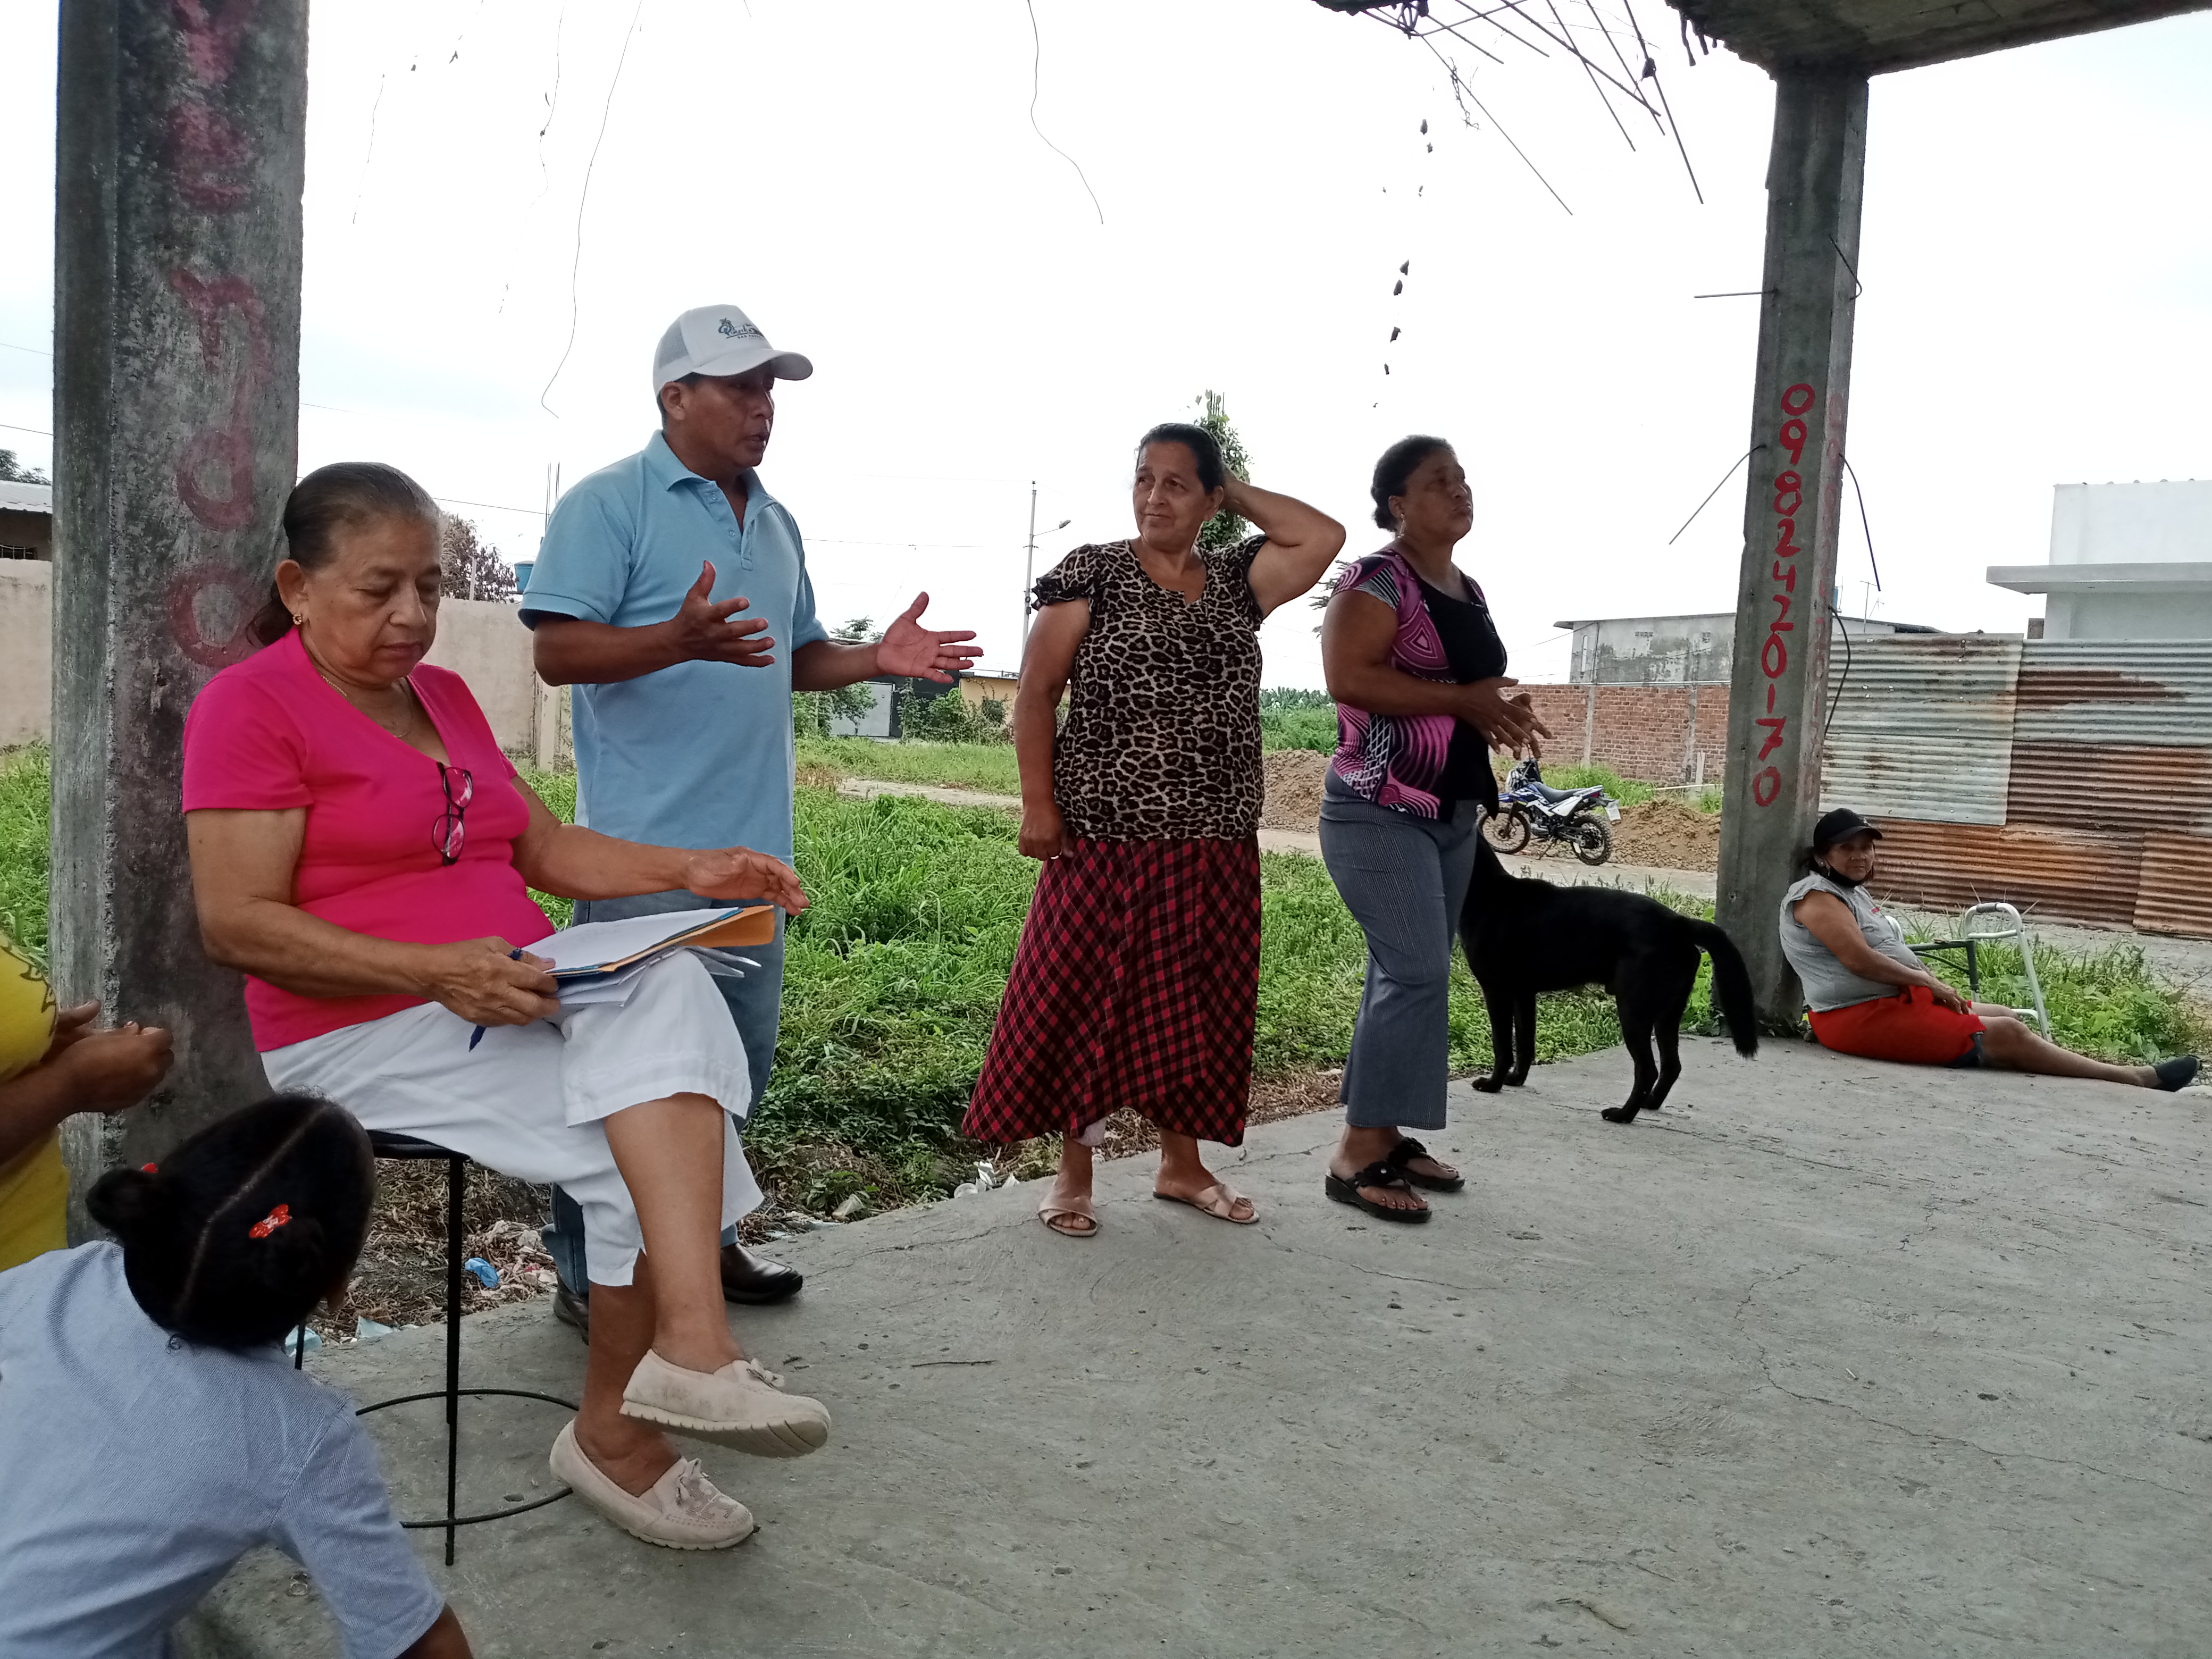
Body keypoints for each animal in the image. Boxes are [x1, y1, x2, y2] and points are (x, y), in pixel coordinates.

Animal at [1460, 834, 1757, 1122]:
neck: (1487, 892)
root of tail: (1678, 924)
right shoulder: (1523, 994)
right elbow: (1525, 1042)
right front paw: (1516, 1079)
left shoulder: (1496, 991)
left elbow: (1502, 1046)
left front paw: (1493, 1084)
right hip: (1668, 1013)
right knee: (1672, 1065)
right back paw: (1650, 1104)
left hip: (1634, 1011)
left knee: (1648, 1069)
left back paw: (1623, 1115)